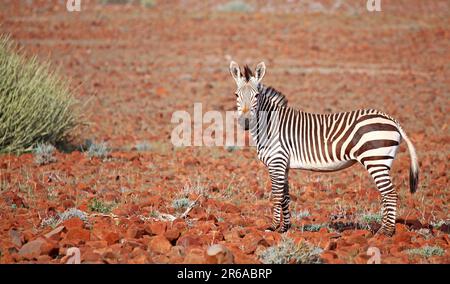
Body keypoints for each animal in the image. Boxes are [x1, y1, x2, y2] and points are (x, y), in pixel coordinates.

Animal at [229, 61, 418, 236]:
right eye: (236, 94)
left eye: (257, 95)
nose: (245, 122)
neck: (269, 124)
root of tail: (391, 119)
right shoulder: (284, 165)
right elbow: (285, 196)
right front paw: (285, 228)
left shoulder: (277, 161)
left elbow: (276, 194)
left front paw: (274, 227)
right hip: (381, 161)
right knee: (386, 195)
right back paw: (384, 229)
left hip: (375, 159)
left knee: (390, 194)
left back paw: (386, 232)